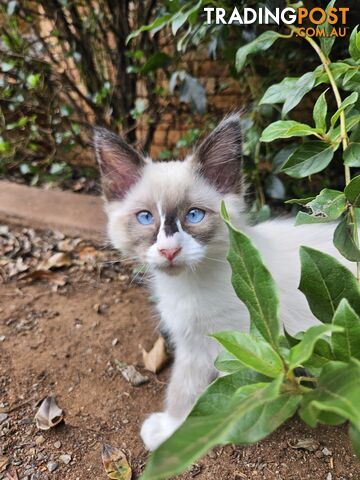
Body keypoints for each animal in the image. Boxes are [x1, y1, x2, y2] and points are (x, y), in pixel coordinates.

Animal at [93, 115, 354, 450]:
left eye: (194, 215)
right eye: (145, 218)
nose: (169, 250)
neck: (189, 285)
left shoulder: (236, 344)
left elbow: (205, 391)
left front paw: (181, 431)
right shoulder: (191, 342)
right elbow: (182, 383)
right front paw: (172, 425)